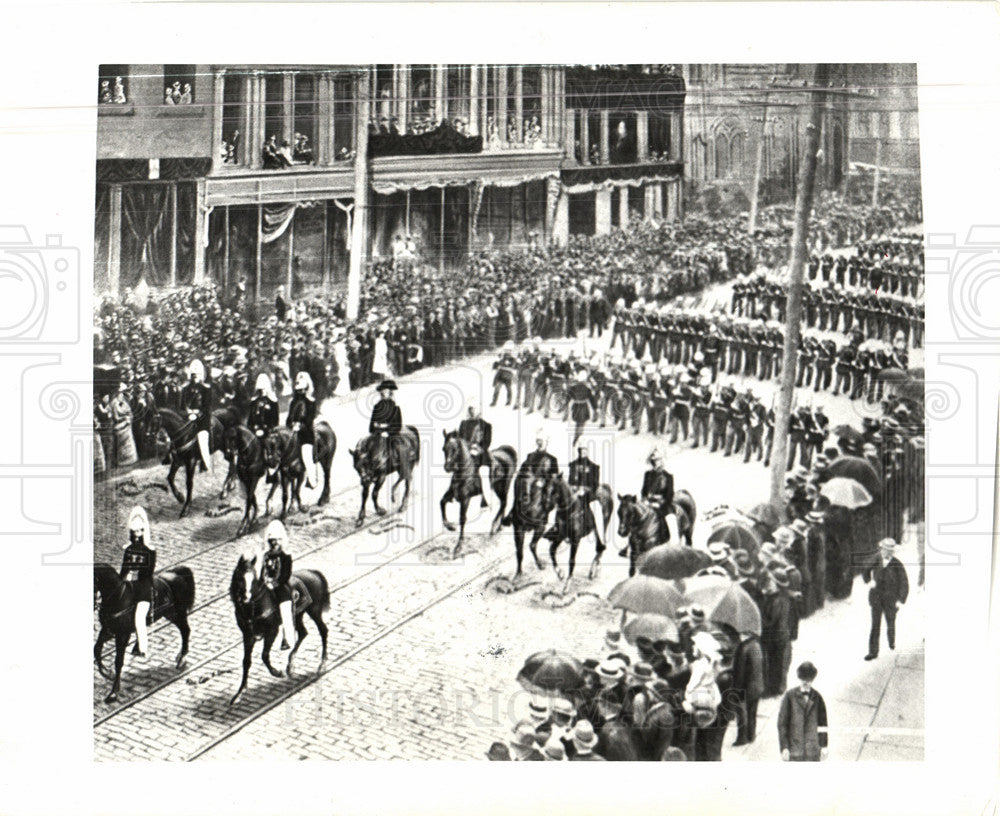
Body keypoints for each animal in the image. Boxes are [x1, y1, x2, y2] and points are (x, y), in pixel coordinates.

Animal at [94, 564, 195, 704]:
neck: (118, 597)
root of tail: (177, 574)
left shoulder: (123, 635)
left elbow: (118, 661)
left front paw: (113, 693)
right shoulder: (108, 630)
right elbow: (97, 649)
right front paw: (106, 672)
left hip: (176, 613)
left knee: (186, 630)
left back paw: (181, 659)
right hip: (170, 614)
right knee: (184, 630)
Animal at [229, 556, 330, 704]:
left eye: (253, 578)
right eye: (239, 578)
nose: (243, 597)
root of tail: (314, 573)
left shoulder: (272, 631)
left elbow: (264, 655)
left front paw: (277, 673)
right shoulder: (247, 635)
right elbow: (246, 661)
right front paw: (240, 693)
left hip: (314, 611)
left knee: (323, 630)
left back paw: (322, 664)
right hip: (298, 615)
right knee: (303, 632)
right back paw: (290, 665)